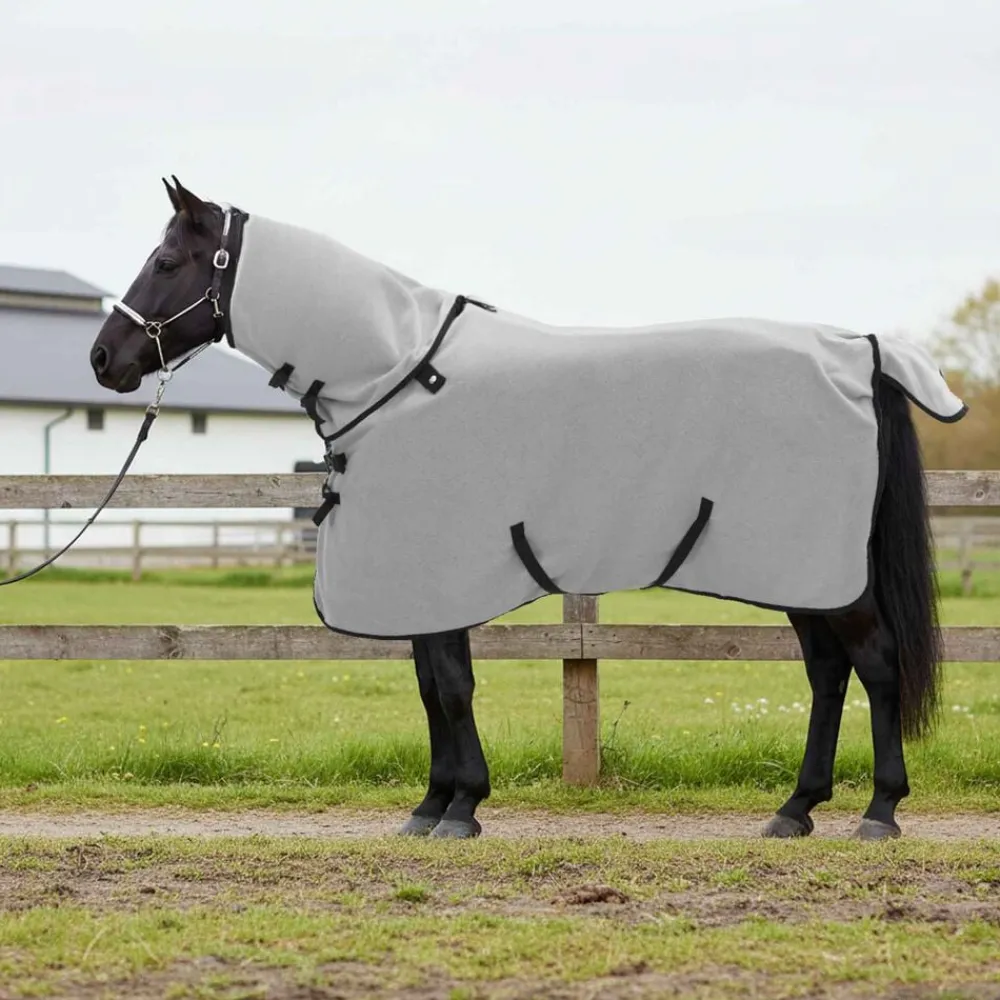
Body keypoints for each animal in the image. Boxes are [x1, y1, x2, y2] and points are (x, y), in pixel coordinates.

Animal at [89, 177, 964, 841]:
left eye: (166, 259)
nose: (104, 359)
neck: (398, 373)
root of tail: (861, 352)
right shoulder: (420, 586)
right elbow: (432, 688)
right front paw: (432, 806)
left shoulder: (439, 574)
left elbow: (450, 687)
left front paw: (461, 809)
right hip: (803, 575)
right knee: (827, 674)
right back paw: (796, 809)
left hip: (828, 576)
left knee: (875, 665)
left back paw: (880, 812)